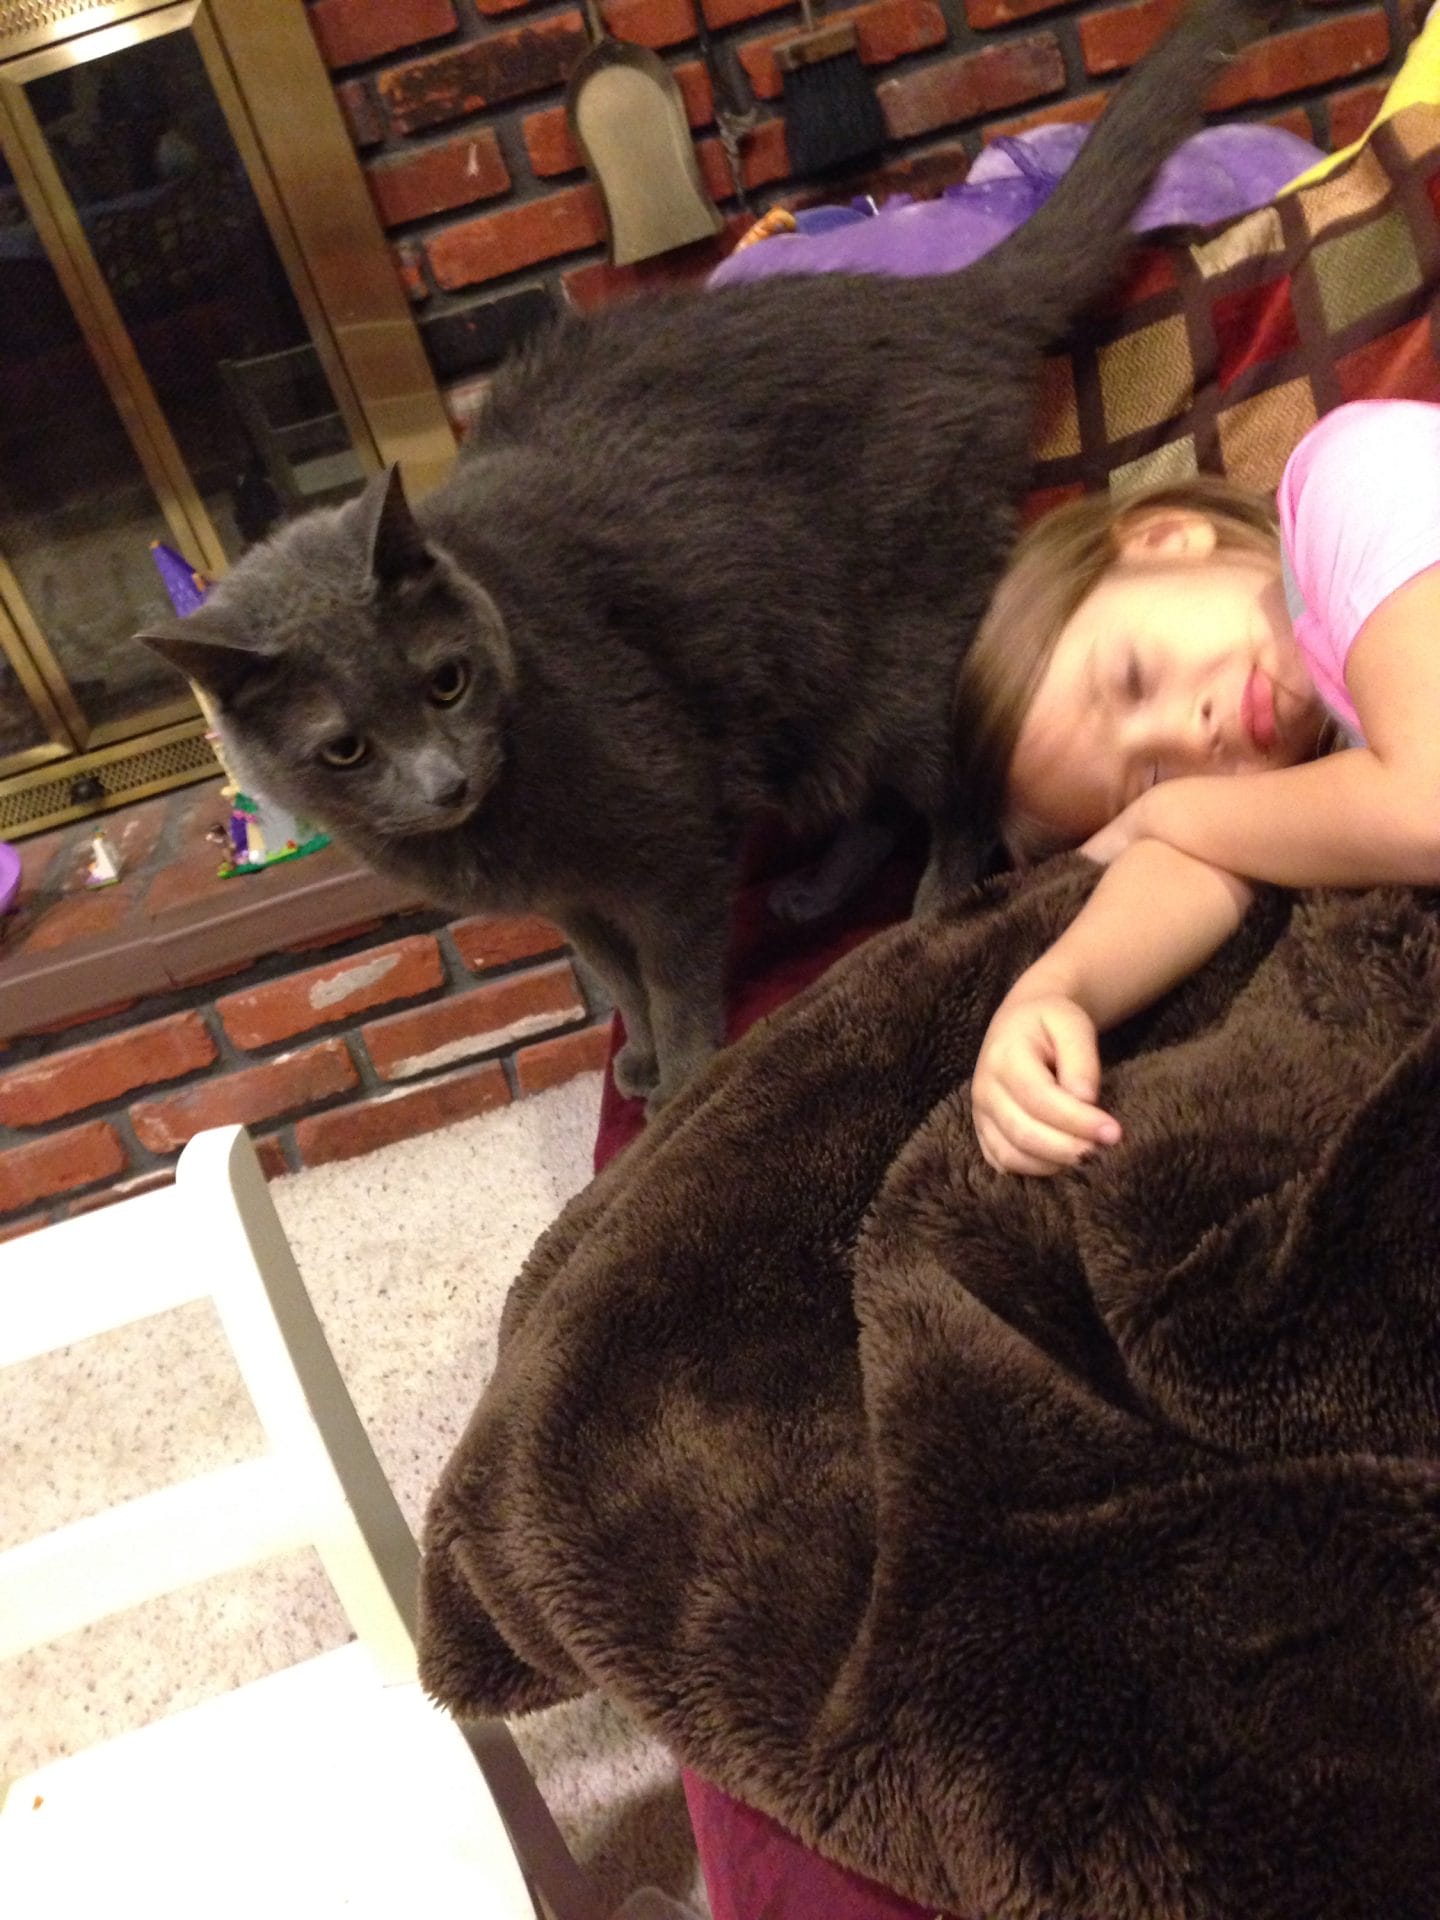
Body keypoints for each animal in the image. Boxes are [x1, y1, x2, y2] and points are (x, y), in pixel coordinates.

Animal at [142, 0, 1288, 1113]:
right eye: (343, 749)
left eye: (446, 682)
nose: (442, 779)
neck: (508, 830)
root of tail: (940, 303)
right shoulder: (571, 900)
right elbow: (615, 979)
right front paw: (642, 1064)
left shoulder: (669, 852)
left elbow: (672, 976)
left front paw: (682, 1081)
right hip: (800, 681)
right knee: (868, 794)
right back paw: (815, 889)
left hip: (902, 644)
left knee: (949, 789)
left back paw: (929, 906)